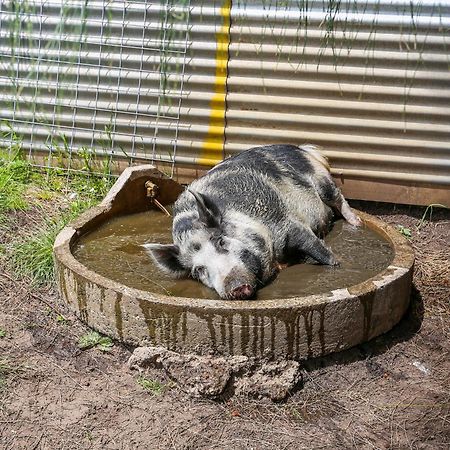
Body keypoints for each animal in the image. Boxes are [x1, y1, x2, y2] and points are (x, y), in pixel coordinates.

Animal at [144, 144, 362, 298]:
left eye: (220, 241)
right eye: (198, 270)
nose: (234, 286)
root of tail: (302, 148)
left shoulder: (286, 222)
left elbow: (317, 248)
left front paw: (339, 264)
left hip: (322, 181)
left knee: (339, 198)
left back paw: (357, 223)